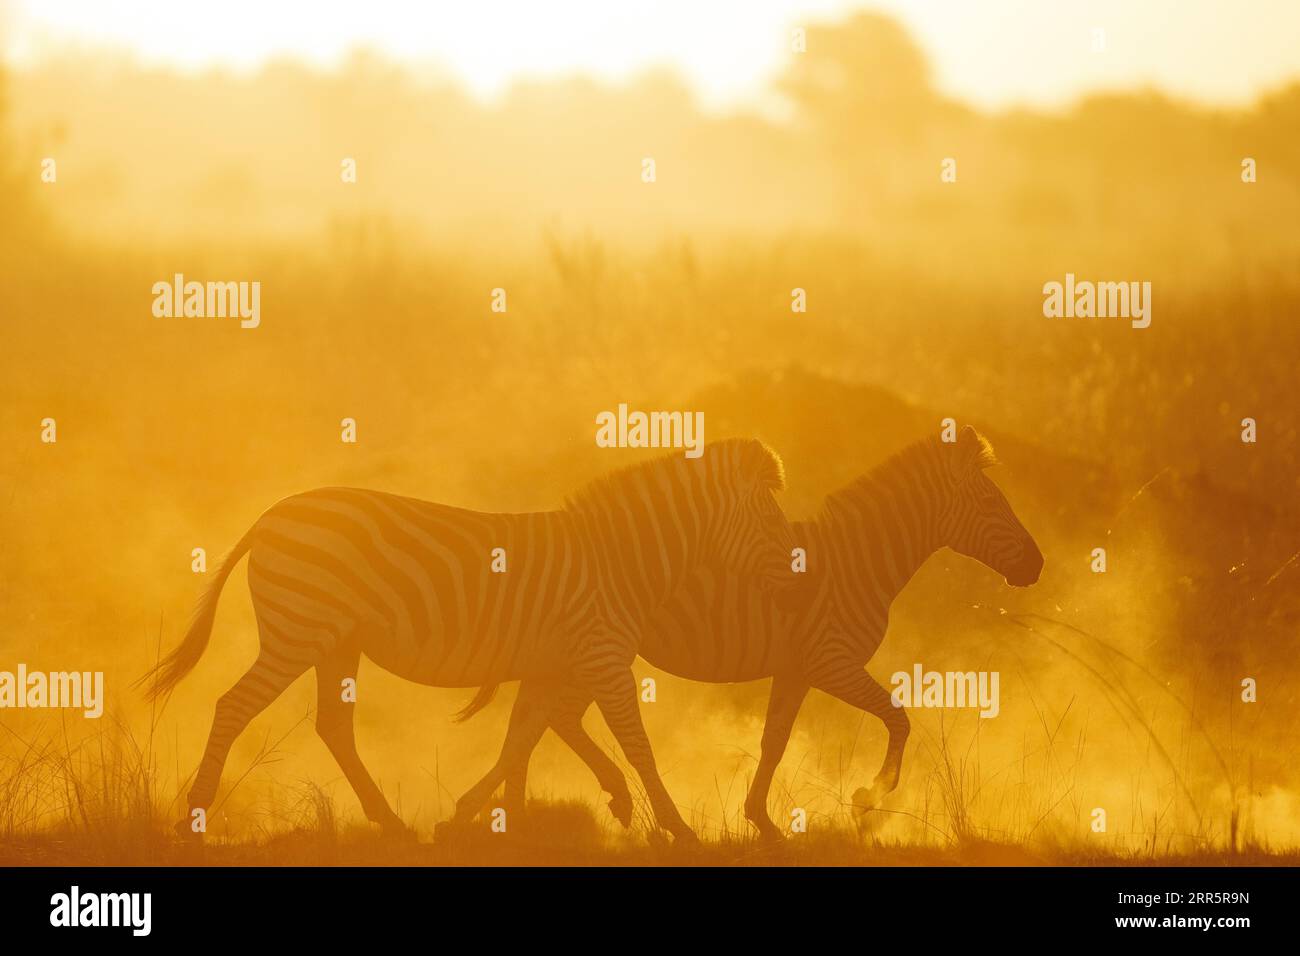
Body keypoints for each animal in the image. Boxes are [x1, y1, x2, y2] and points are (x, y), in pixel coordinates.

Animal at [139, 434, 790, 842]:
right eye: (771, 517)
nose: (797, 572)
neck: (619, 561)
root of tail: (270, 515)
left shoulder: (552, 663)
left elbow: (519, 741)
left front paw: (477, 819)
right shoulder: (604, 657)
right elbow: (636, 745)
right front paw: (677, 827)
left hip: (335, 643)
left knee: (333, 726)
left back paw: (392, 823)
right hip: (296, 636)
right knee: (234, 705)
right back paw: (194, 816)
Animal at [467, 426, 1045, 837]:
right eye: (992, 504)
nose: (1037, 565)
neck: (858, 564)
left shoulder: (797, 669)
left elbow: (775, 742)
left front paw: (760, 820)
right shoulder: (832, 662)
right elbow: (898, 718)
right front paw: (870, 799)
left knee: (540, 718)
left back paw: (520, 815)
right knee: (549, 717)